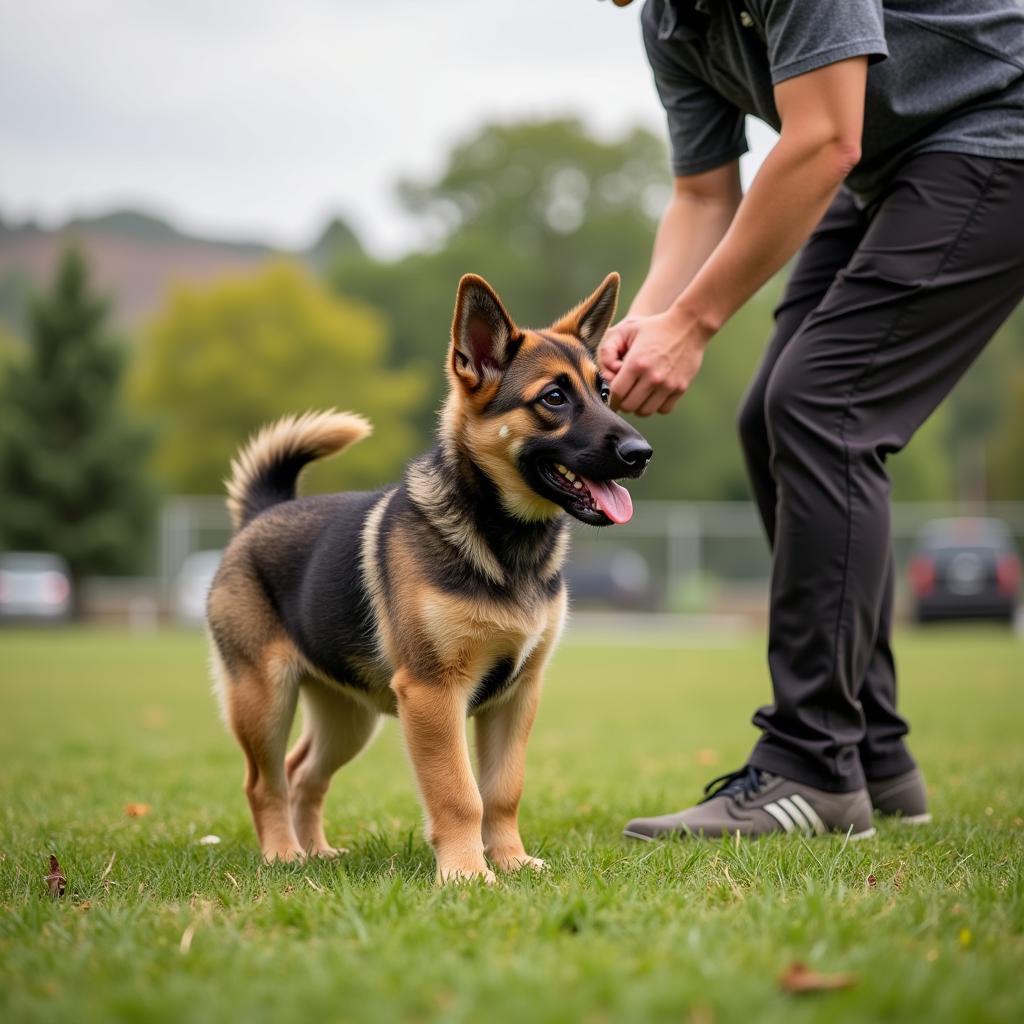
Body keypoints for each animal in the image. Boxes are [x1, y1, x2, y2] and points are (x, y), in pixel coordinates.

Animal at [206, 272, 651, 880]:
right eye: (554, 398)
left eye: (604, 392)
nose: (641, 453)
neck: (504, 544)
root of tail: (261, 513)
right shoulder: (433, 695)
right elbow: (459, 794)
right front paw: (466, 873)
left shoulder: (518, 696)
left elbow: (503, 790)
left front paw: (510, 861)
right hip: (263, 698)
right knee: (264, 782)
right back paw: (282, 853)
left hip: (347, 717)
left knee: (302, 772)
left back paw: (316, 852)